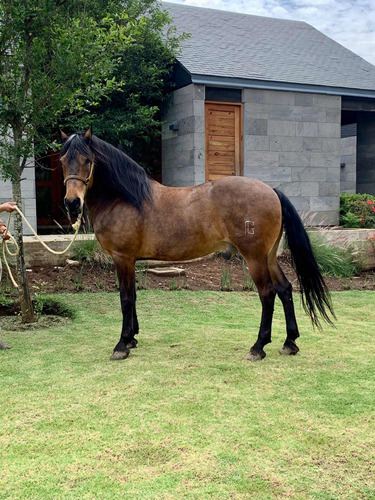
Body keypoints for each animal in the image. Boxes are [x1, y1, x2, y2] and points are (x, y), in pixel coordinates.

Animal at [60, 128, 336, 364]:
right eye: (63, 160)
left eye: (87, 160)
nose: (72, 203)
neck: (125, 199)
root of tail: (271, 190)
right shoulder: (130, 261)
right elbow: (134, 296)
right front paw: (132, 340)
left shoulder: (122, 258)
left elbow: (126, 298)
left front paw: (122, 344)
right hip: (269, 257)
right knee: (285, 289)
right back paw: (289, 342)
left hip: (255, 258)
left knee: (267, 294)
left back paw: (258, 347)